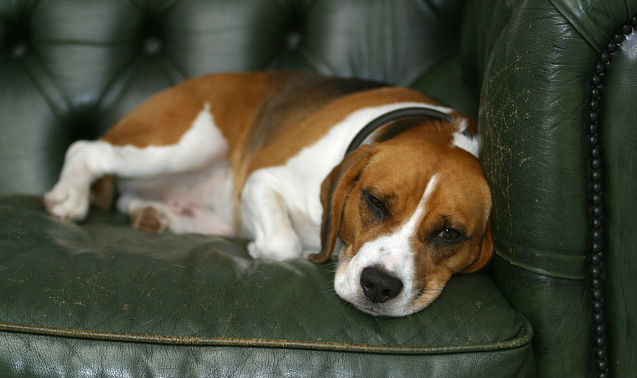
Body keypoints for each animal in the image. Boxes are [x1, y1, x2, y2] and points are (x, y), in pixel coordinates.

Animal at [43, 70, 492, 316]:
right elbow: (282, 244)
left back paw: (154, 216)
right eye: (375, 202)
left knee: (128, 197)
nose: (379, 286)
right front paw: (265, 248)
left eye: (449, 234)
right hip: (183, 144)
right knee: (87, 150)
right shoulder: (262, 179)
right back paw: (69, 197)